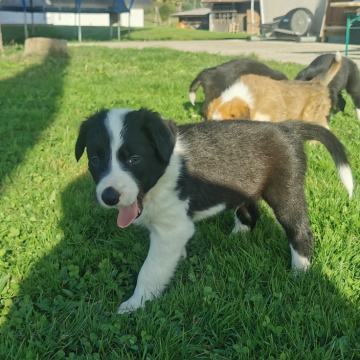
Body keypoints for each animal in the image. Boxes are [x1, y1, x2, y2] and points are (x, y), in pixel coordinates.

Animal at [74, 108, 352, 314]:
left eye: (134, 160)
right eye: (95, 160)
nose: (109, 196)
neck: (163, 174)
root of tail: (288, 128)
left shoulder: (171, 229)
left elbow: (150, 270)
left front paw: (136, 304)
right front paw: (180, 260)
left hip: (285, 191)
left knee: (300, 230)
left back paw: (300, 272)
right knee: (250, 214)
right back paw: (235, 239)